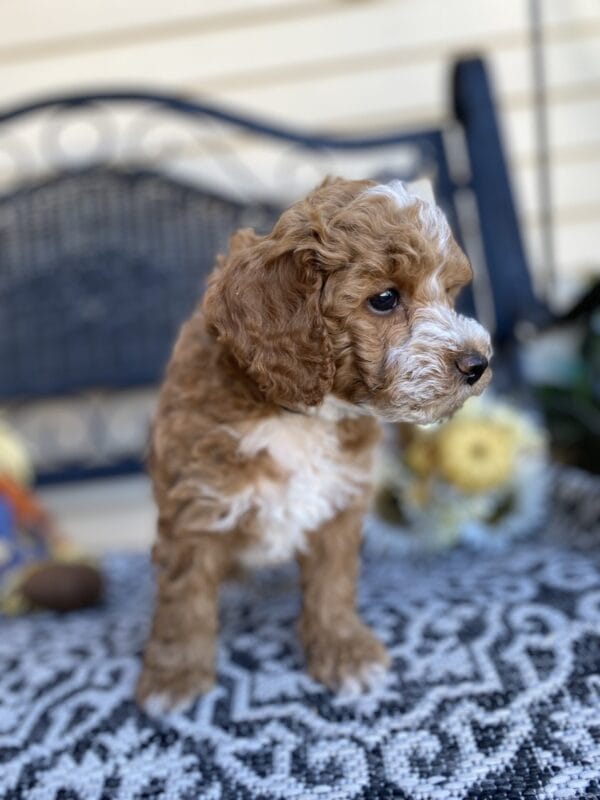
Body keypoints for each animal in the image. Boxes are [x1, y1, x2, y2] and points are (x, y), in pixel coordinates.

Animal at [137, 177, 492, 712]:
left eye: (451, 293)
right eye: (384, 298)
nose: (477, 364)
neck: (299, 414)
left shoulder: (338, 503)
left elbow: (332, 585)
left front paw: (344, 651)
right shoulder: (194, 503)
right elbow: (185, 596)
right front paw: (174, 676)